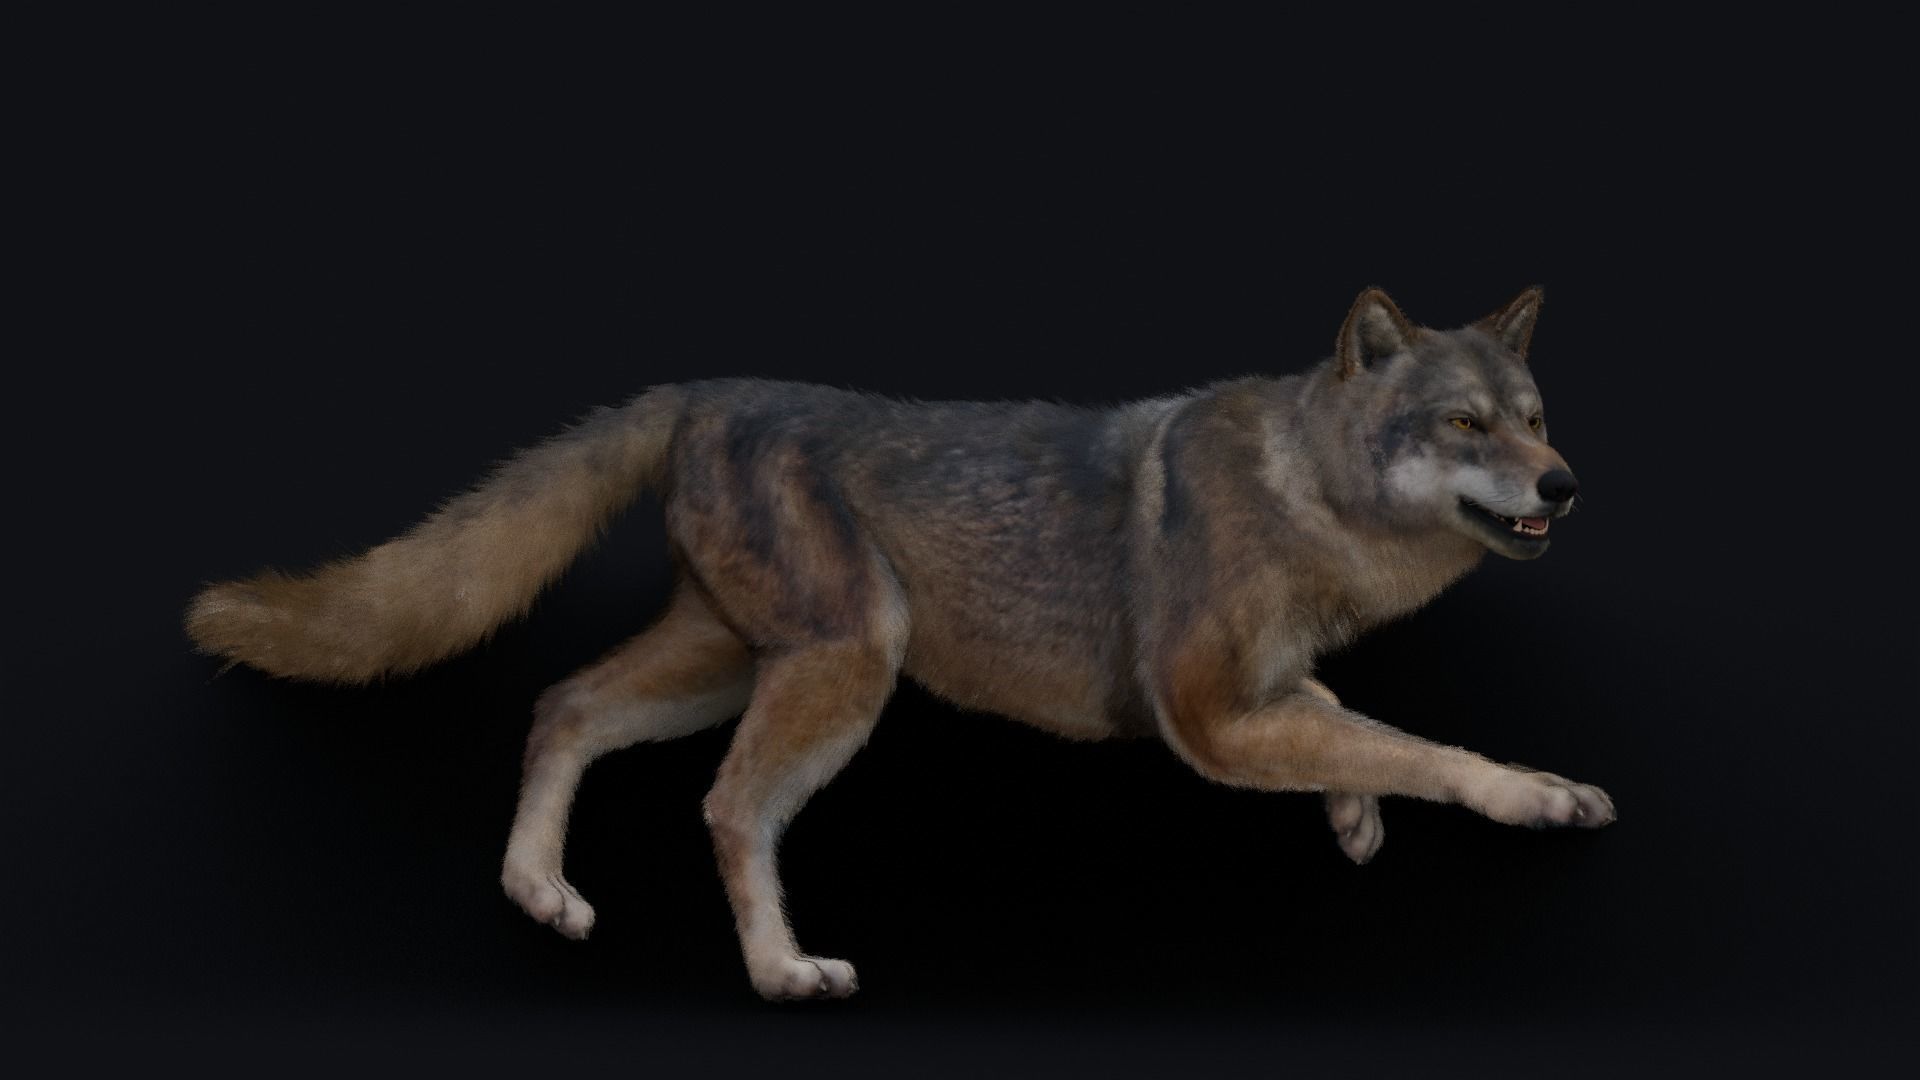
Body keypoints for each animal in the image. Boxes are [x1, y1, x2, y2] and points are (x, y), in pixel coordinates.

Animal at [186, 286, 1613, 1000]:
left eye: (1538, 416)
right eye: (1469, 425)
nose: (1565, 486)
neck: (1307, 494)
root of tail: (704, 390)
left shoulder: (1247, 697)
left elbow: (1347, 725)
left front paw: (1357, 819)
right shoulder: (1205, 720)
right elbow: (1416, 746)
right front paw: (1536, 797)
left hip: (734, 666)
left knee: (561, 707)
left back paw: (540, 891)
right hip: (844, 669)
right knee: (726, 807)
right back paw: (781, 972)